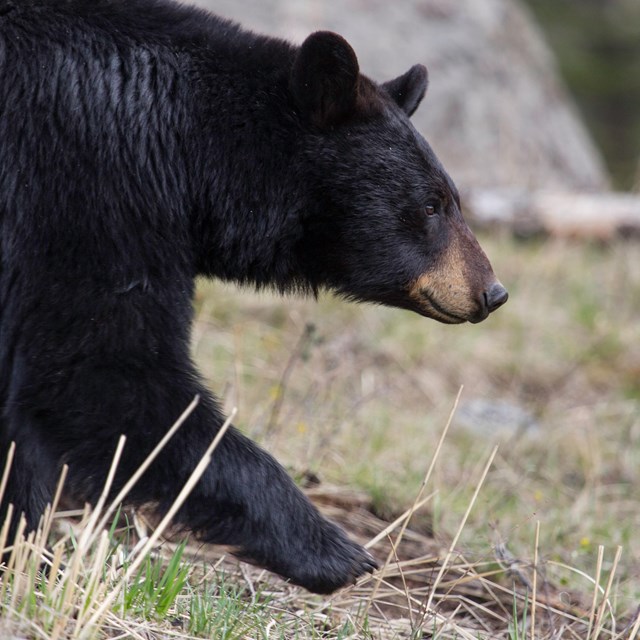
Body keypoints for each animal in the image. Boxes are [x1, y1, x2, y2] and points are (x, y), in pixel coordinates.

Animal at [1, 0, 510, 592]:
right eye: (431, 205)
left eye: (453, 199)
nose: (491, 291)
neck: (185, 142)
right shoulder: (84, 180)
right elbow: (101, 370)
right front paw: (334, 551)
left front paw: (28, 549)